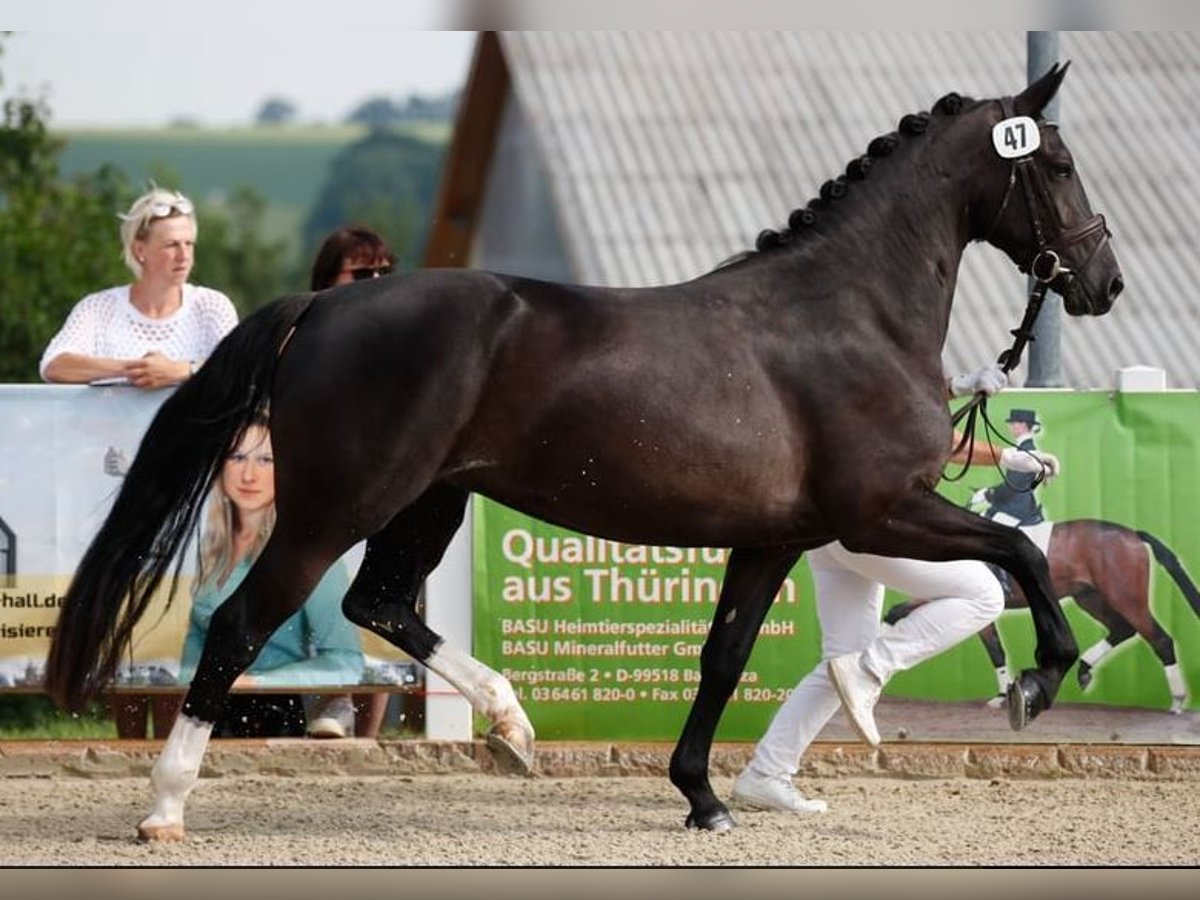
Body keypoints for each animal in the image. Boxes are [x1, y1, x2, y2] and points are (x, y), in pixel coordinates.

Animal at [42, 65, 1118, 840]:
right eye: (1060, 164)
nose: (1102, 280)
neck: (850, 315)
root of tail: (325, 305)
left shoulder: (774, 538)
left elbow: (725, 657)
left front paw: (703, 797)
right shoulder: (884, 508)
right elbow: (1017, 556)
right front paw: (1039, 679)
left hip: (428, 503)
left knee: (377, 602)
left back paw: (514, 727)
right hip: (336, 510)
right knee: (243, 627)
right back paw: (165, 806)